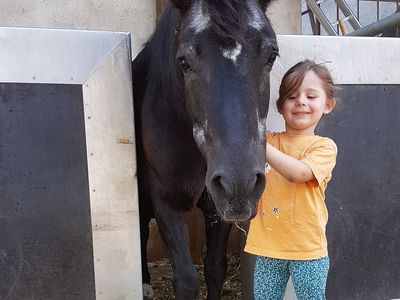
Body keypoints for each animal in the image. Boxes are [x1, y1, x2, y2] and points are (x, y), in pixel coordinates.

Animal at [131, 1, 278, 298]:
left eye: (271, 56)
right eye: (184, 62)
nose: (240, 183)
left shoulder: (217, 207)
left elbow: (215, 268)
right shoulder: (167, 204)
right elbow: (186, 279)